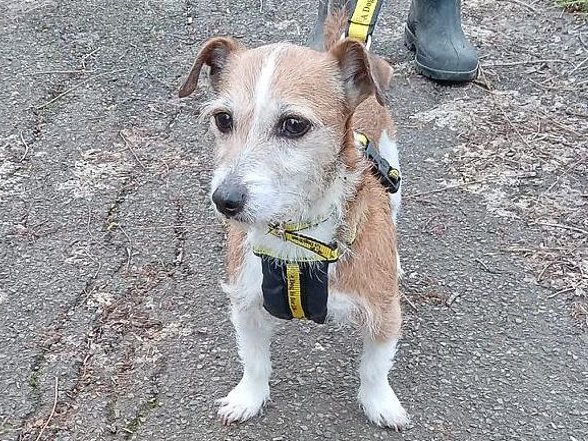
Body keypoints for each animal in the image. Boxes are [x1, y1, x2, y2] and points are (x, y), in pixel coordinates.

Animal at [179, 6, 408, 428]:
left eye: (294, 125)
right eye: (223, 119)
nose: (225, 200)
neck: (295, 233)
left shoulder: (384, 313)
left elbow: (374, 367)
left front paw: (379, 403)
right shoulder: (246, 305)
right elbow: (254, 362)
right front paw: (249, 397)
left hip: (394, 178)